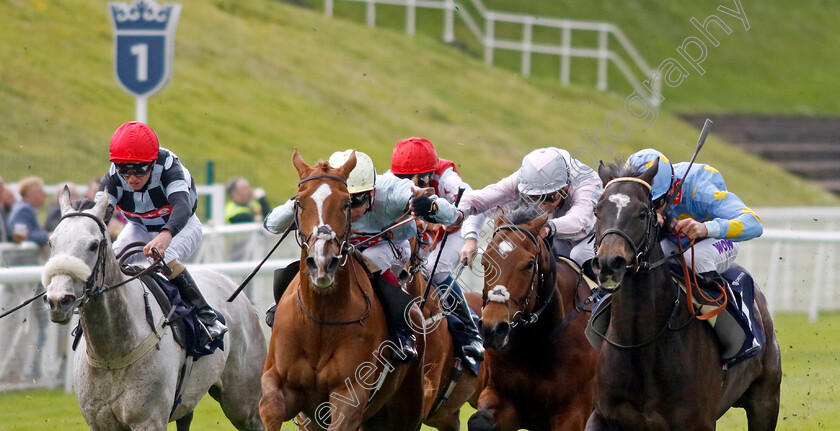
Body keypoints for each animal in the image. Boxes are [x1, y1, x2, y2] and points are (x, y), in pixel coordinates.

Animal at [43, 191, 266, 430]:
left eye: (93, 245)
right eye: (51, 242)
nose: (58, 300)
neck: (112, 352)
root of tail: (232, 283)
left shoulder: (149, 420)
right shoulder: (100, 423)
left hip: (244, 404)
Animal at [260, 149, 434, 431]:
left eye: (345, 203)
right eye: (299, 203)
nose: (322, 262)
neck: (320, 320)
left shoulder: (348, 397)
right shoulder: (279, 384)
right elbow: (271, 407)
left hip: (405, 409)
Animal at [470, 208, 600, 430]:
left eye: (530, 264)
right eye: (485, 261)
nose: (492, 329)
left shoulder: (574, 411)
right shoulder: (502, 397)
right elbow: (480, 419)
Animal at [588, 160, 784, 430]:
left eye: (642, 213)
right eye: (597, 211)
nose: (609, 263)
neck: (642, 344)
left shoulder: (698, 421)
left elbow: (747, 217)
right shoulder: (602, 414)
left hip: (766, 400)